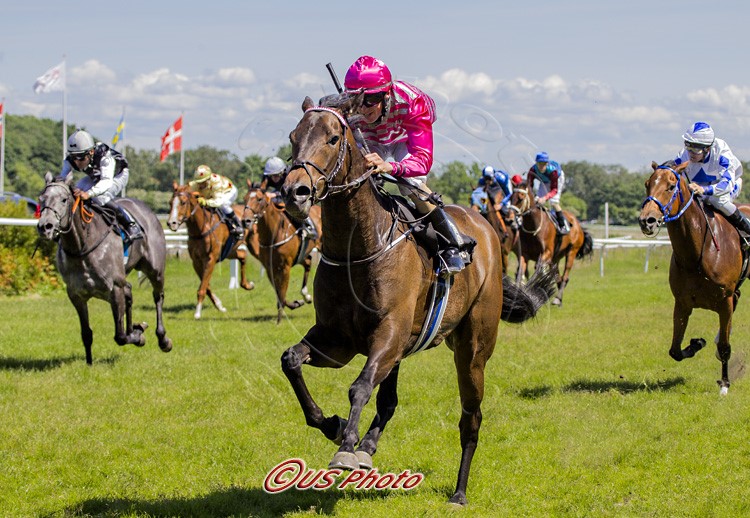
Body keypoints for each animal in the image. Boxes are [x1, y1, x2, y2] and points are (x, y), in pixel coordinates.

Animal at [36, 174, 173, 366]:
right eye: (41, 199)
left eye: (64, 200)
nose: (45, 226)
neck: (82, 246)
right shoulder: (76, 295)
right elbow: (86, 333)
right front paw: (89, 363)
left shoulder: (114, 288)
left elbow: (120, 336)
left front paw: (138, 336)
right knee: (130, 292)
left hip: (155, 270)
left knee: (158, 297)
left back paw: (163, 339)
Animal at [167, 183, 256, 320]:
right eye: (170, 203)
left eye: (183, 202)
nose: (172, 223)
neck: (200, 228)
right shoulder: (196, 261)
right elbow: (206, 285)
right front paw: (219, 305)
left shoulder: (210, 259)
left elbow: (203, 286)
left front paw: (197, 313)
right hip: (230, 251)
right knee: (242, 256)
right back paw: (247, 285)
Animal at [242, 186, 322, 324]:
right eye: (245, 198)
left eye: (259, 199)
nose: (246, 221)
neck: (273, 234)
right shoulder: (269, 268)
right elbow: (279, 294)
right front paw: (295, 303)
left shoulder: (285, 267)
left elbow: (282, 292)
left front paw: (279, 320)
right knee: (308, 262)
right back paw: (306, 295)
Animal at [280, 94, 556, 508]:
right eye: (294, 137)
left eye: (332, 138)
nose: (294, 191)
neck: (357, 249)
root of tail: (486, 228)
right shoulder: (338, 340)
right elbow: (292, 360)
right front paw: (335, 426)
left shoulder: (388, 333)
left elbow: (359, 386)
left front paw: (346, 448)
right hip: (402, 349)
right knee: (389, 400)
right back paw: (368, 445)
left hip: (472, 350)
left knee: (471, 417)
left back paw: (459, 491)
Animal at [640, 160, 750, 396]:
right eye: (647, 184)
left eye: (671, 186)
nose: (647, 221)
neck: (697, 252)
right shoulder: (682, 302)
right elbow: (674, 350)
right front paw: (697, 343)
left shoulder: (724, 300)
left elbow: (725, 346)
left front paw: (724, 384)